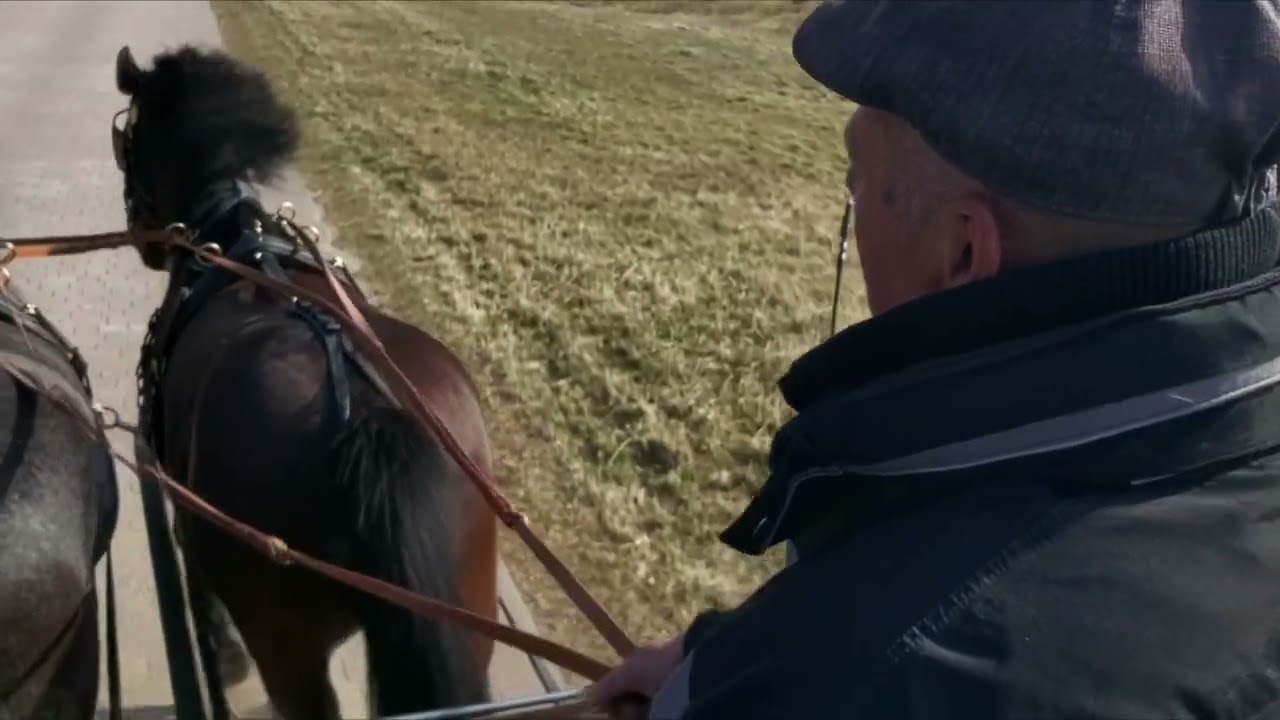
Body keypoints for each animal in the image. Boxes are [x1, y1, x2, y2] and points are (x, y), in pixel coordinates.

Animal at [111, 44, 499, 719]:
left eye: (128, 140)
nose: (143, 241)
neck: (230, 235)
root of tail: (368, 414)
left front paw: (221, 658)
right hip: (470, 623)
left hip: (288, 646)